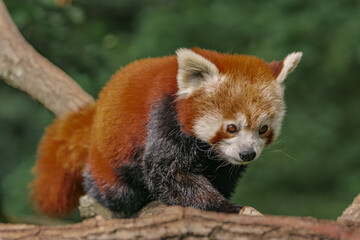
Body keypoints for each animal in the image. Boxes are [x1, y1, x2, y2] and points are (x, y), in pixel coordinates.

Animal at [31, 47, 300, 216]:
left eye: (263, 129)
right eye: (231, 127)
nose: (247, 154)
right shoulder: (163, 117)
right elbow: (167, 171)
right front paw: (225, 208)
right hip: (108, 157)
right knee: (116, 191)